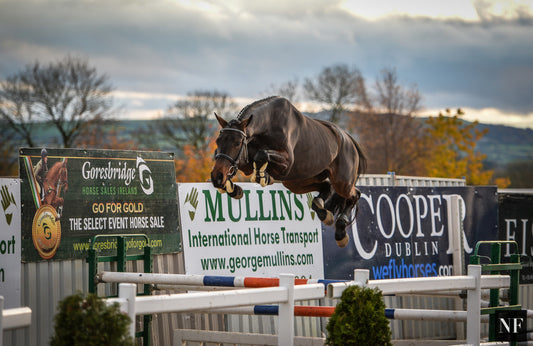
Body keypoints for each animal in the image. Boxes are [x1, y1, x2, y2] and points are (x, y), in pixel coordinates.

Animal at [211, 96, 366, 247]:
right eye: (218, 141)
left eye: (237, 143)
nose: (216, 177)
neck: (268, 125)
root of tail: (348, 138)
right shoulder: (246, 161)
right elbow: (239, 164)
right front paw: (233, 188)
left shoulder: (286, 163)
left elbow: (262, 155)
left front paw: (262, 177)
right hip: (296, 182)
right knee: (326, 187)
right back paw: (323, 211)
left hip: (342, 182)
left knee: (355, 194)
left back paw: (341, 231)